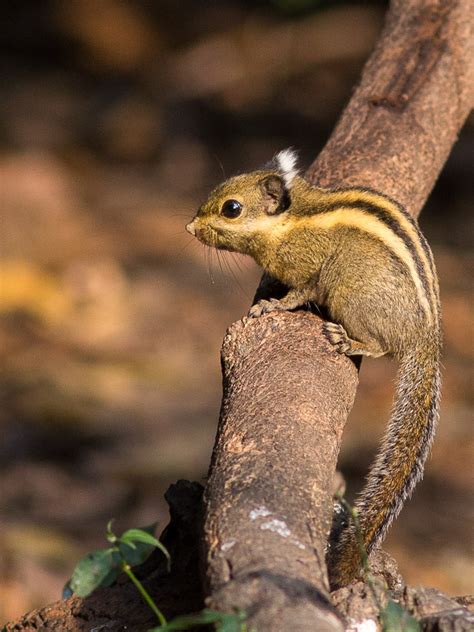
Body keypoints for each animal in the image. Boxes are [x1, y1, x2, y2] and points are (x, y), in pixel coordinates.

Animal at [185, 148, 440, 588]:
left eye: (231, 208)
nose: (190, 226)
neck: (291, 219)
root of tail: (426, 338)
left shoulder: (310, 269)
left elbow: (298, 293)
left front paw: (273, 305)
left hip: (350, 292)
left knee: (380, 347)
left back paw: (350, 341)